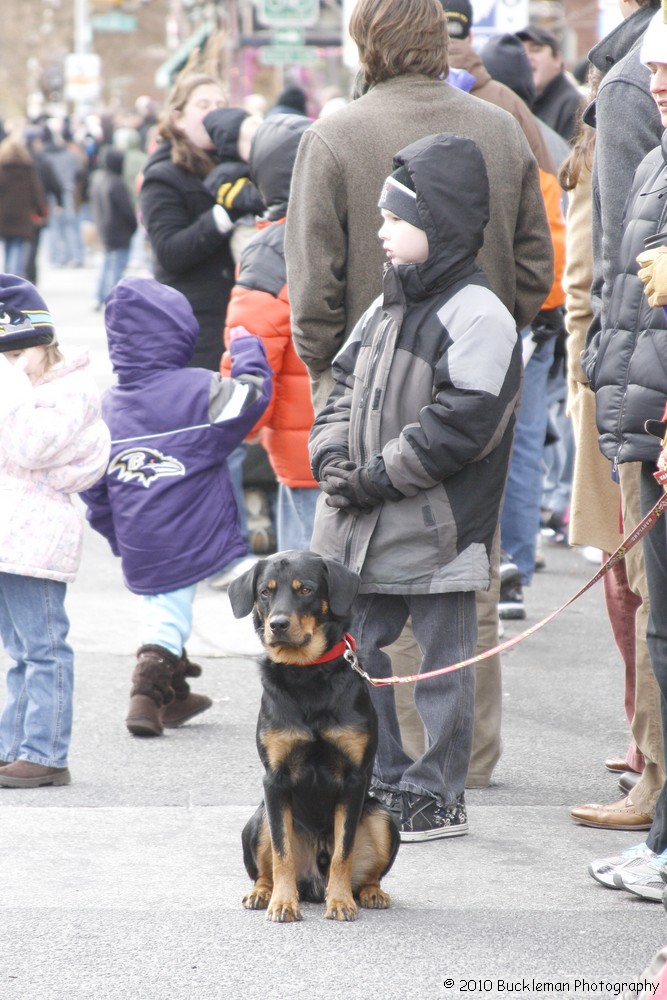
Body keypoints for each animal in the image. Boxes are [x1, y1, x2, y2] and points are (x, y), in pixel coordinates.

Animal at [228, 548, 402, 920]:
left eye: (306, 590)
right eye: (265, 592)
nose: (277, 624)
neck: (306, 674)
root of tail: (312, 885)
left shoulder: (353, 779)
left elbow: (342, 852)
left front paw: (340, 901)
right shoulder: (274, 780)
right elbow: (282, 854)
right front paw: (282, 902)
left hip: (381, 817)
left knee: (366, 873)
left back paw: (370, 893)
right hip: (259, 819)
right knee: (267, 866)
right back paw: (263, 893)